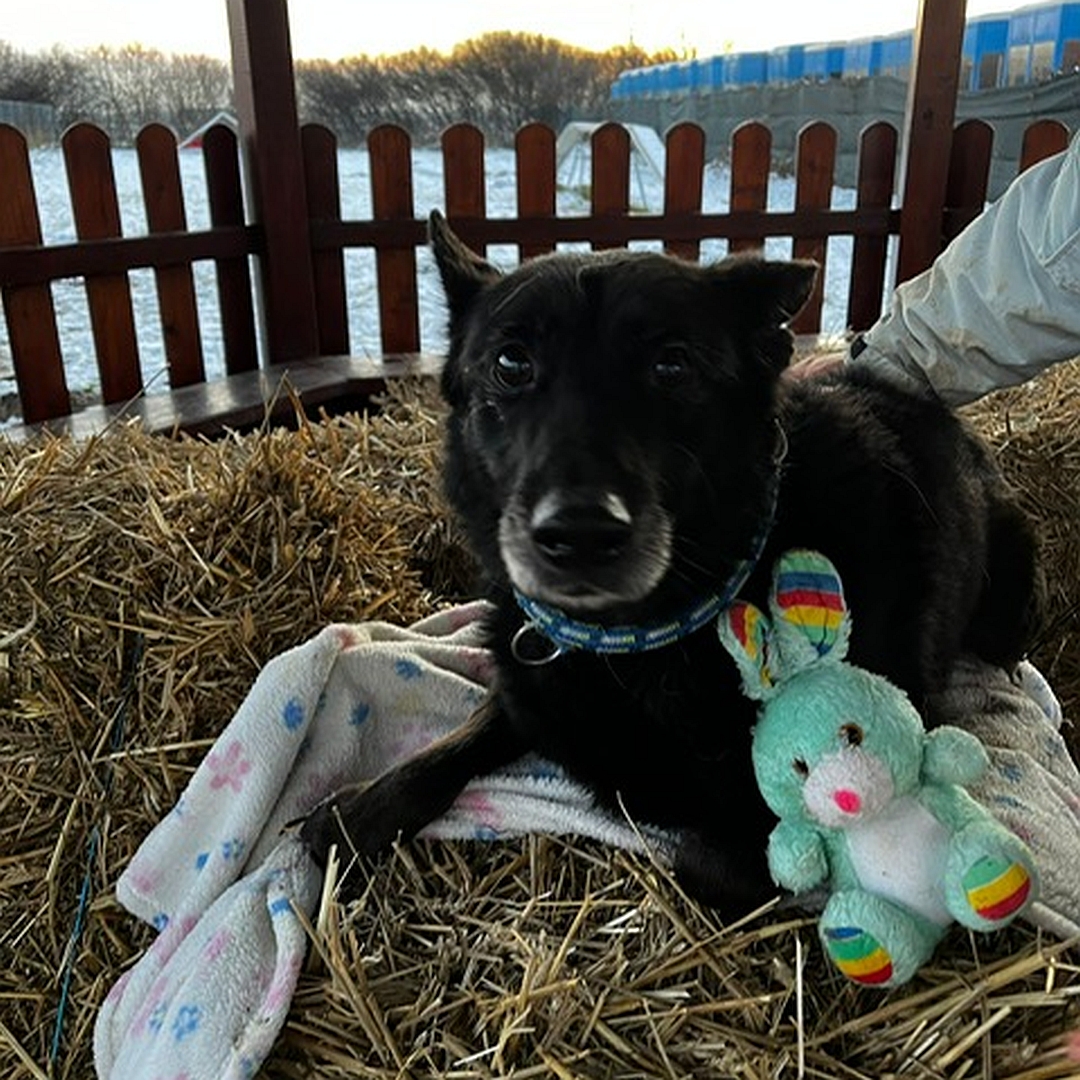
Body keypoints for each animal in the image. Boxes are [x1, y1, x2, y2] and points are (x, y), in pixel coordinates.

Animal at [300, 210, 1041, 911]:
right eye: (511, 364)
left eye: (672, 366)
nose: (580, 534)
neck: (638, 640)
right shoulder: (528, 687)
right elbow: (463, 735)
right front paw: (360, 810)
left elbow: (702, 862)